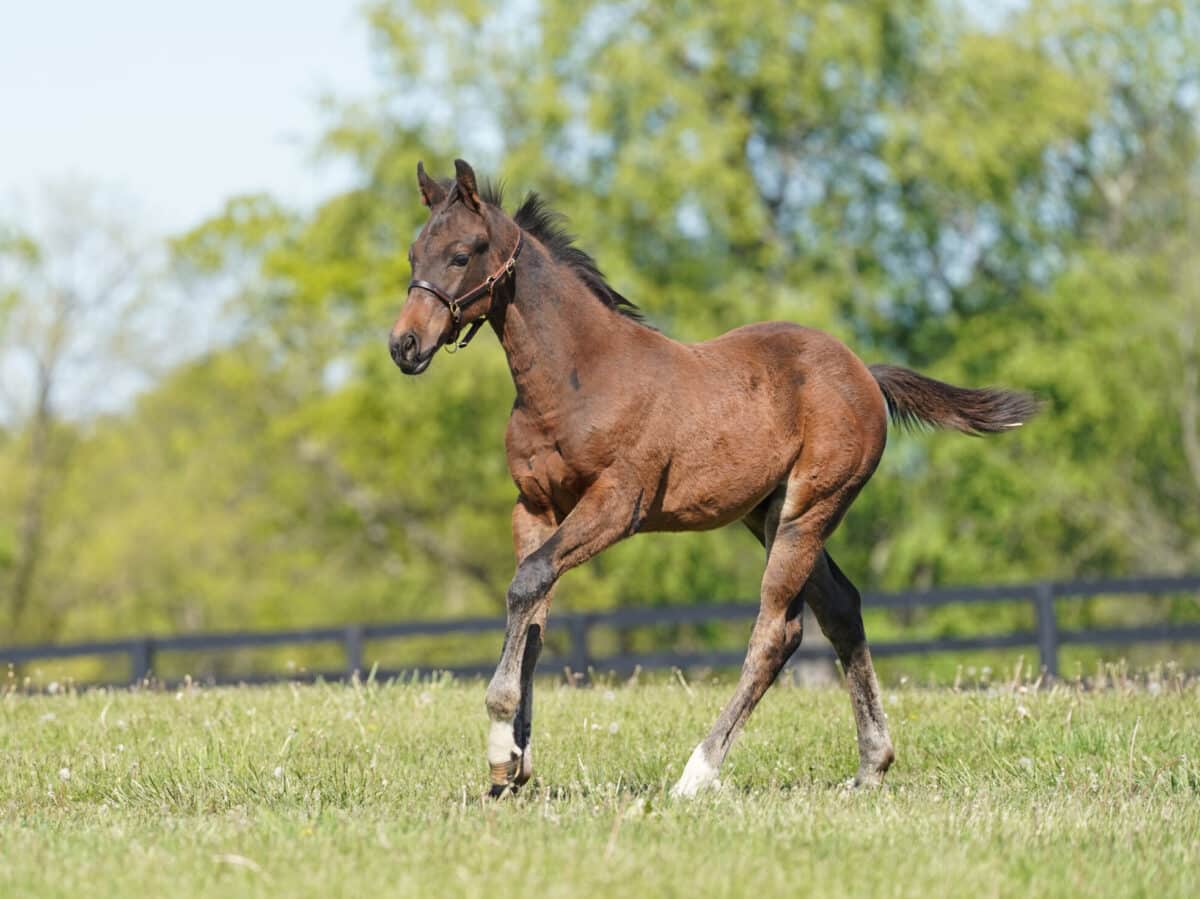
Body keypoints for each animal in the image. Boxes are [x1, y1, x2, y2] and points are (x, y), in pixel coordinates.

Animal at [388, 157, 1036, 796]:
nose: (404, 345)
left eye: (462, 253)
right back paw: (871, 765)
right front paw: (513, 764)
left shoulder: (618, 504)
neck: (576, 380)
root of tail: (865, 374)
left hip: (810, 509)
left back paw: (698, 773)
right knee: (842, 610)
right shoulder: (533, 506)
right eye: (414, 254)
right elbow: (535, 612)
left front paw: (502, 746)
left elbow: (527, 586)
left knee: (777, 632)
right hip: (768, 513)